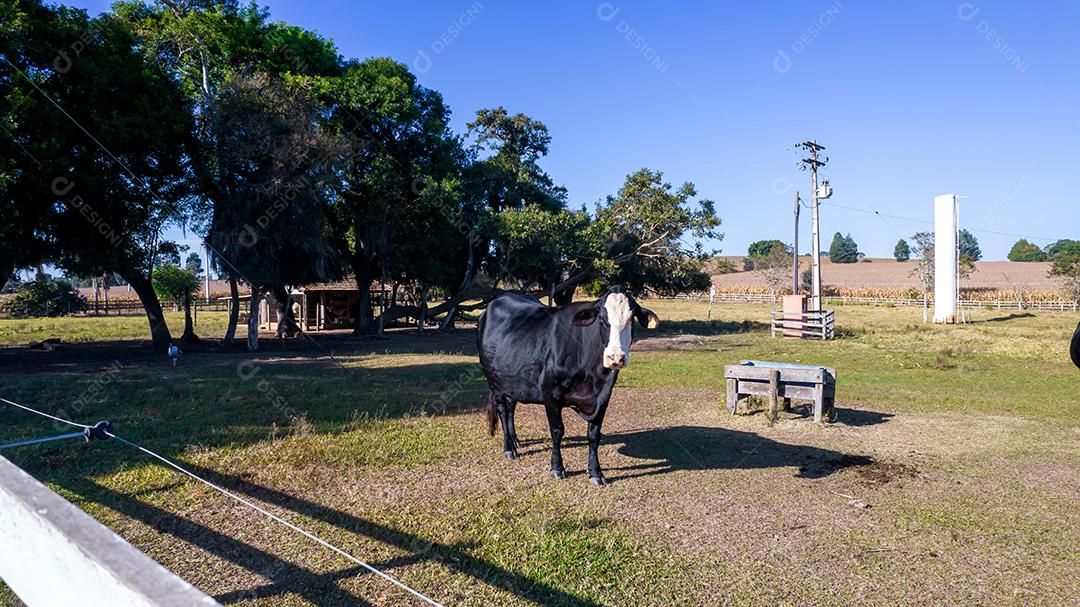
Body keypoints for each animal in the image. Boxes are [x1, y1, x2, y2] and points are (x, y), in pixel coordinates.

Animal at [477, 286, 659, 486]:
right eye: (603, 320)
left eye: (631, 319)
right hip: (494, 382)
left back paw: (515, 440)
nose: (616, 358)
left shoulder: (604, 396)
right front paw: (557, 468)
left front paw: (596, 472)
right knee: (503, 410)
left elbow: (594, 434)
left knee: (511, 407)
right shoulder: (550, 393)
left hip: (514, 381)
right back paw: (509, 448)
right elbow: (557, 431)